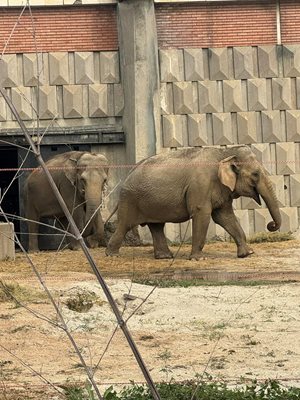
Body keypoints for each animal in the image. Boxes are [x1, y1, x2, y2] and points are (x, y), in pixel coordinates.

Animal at [106, 145, 282, 260]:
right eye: (255, 174)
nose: (271, 225)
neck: (225, 152)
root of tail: (128, 174)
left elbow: (225, 217)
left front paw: (247, 254)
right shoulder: (201, 185)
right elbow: (202, 214)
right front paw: (198, 259)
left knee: (157, 226)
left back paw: (165, 257)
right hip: (130, 199)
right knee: (125, 225)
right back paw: (112, 255)